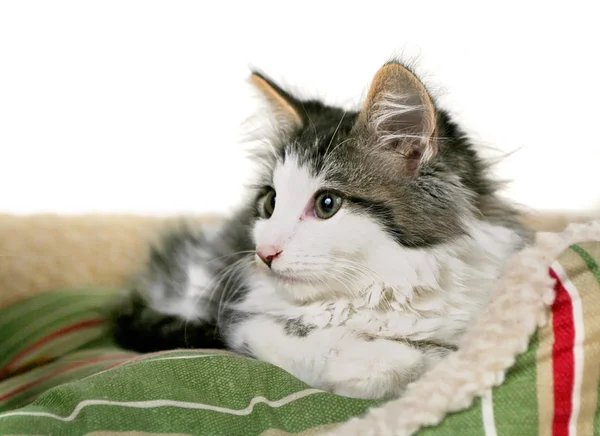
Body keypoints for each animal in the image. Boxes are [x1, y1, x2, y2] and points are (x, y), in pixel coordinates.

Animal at [110, 59, 528, 400]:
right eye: (270, 203)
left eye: (327, 204)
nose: (265, 253)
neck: (375, 290)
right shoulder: (245, 322)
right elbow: (309, 346)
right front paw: (353, 360)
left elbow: (423, 359)